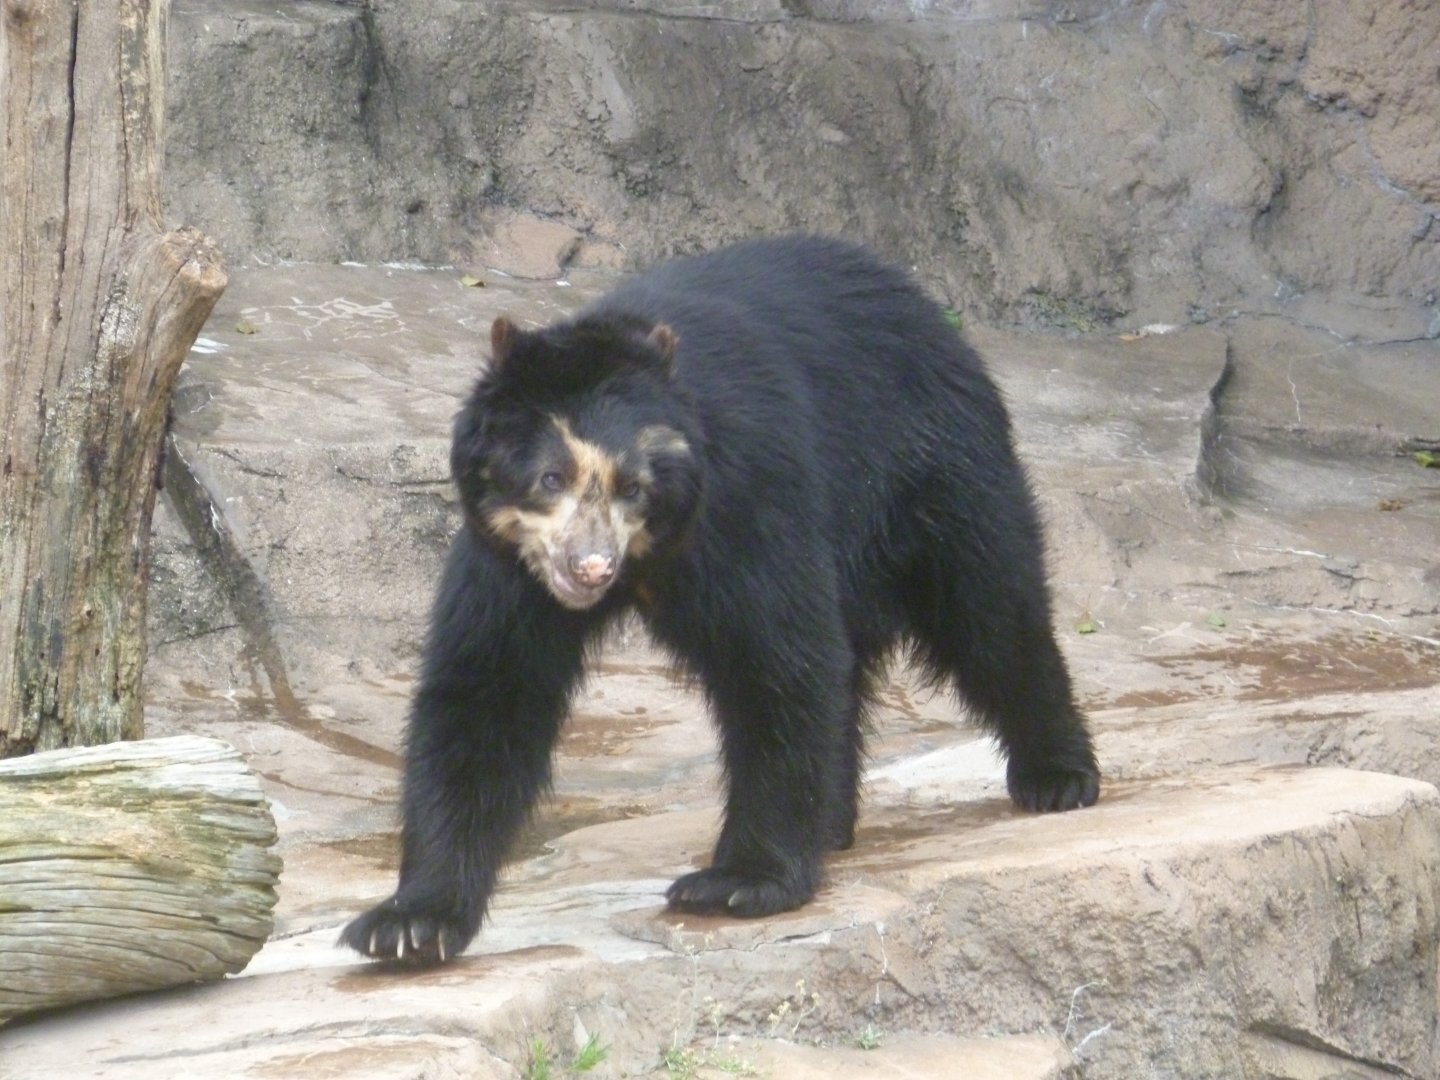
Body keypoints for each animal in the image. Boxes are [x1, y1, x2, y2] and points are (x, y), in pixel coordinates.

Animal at [340, 235, 1100, 964]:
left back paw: (1057, 776)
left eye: (634, 486)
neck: (653, 554)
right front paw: (409, 924)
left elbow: (777, 659)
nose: (591, 568)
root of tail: (927, 307)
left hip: (932, 472)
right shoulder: (508, 562)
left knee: (991, 613)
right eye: (551, 476)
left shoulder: (749, 496)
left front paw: (739, 881)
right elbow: (486, 691)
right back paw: (833, 821)